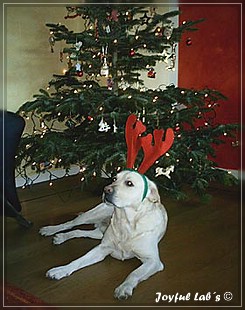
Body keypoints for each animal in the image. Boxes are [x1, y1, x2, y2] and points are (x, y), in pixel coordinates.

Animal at [39, 170, 168, 300]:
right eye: (114, 179)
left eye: (129, 183)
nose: (106, 189)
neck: (125, 222)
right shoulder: (102, 248)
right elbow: (78, 260)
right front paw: (60, 270)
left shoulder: (153, 261)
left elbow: (134, 273)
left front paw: (124, 287)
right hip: (90, 216)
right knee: (70, 223)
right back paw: (51, 230)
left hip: (99, 233)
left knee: (80, 232)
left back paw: (62, 236)